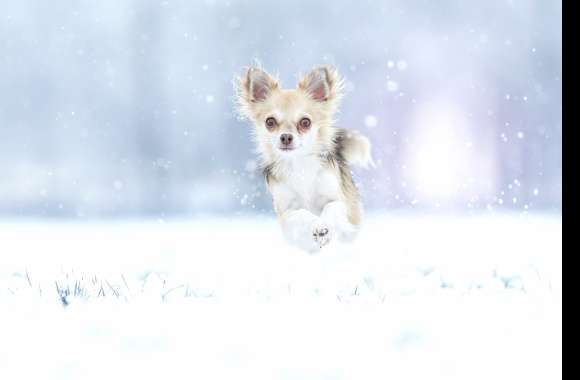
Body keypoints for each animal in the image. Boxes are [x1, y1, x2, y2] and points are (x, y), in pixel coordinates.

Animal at [234, 64, 372, 252]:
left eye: (305, 122)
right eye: (270, 122)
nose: (285, 137)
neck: (298, 163)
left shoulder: (338, 201)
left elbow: (331, 207)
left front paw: (324, 228)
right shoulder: (286, 213)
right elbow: (301, 213)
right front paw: (317, 226)